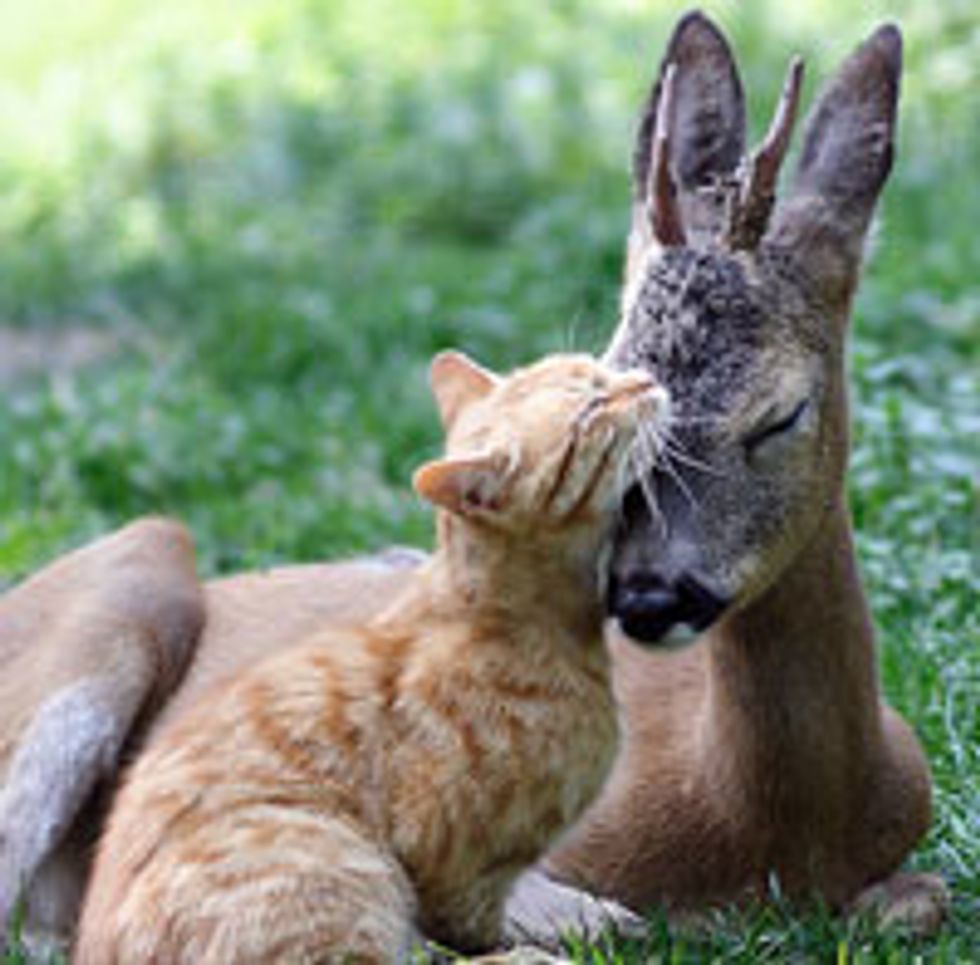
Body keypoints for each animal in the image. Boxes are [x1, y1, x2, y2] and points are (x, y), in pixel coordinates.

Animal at [74, 350, 668, 960]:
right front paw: (533, 937)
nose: (647, 379)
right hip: (338, 862)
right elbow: (472, 928)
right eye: (592, 408)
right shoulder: (455, 863)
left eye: (598, 369)